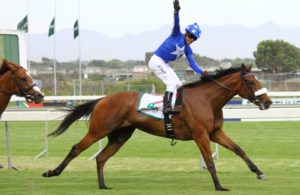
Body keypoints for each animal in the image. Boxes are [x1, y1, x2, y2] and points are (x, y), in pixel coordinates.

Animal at [41, 64, 272, 190]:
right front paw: (219, 186)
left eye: (257, 80)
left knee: (101, 158)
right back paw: (52, 172)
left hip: (120, 135)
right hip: (99, 130)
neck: (207, 100)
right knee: (76, 149)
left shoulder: (215, 132)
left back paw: (103, 185)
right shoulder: (200, 135)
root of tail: (103, 99)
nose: (268, 101)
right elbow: (209, 162)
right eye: (252, 82)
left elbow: (239, 150)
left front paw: (260, 172)